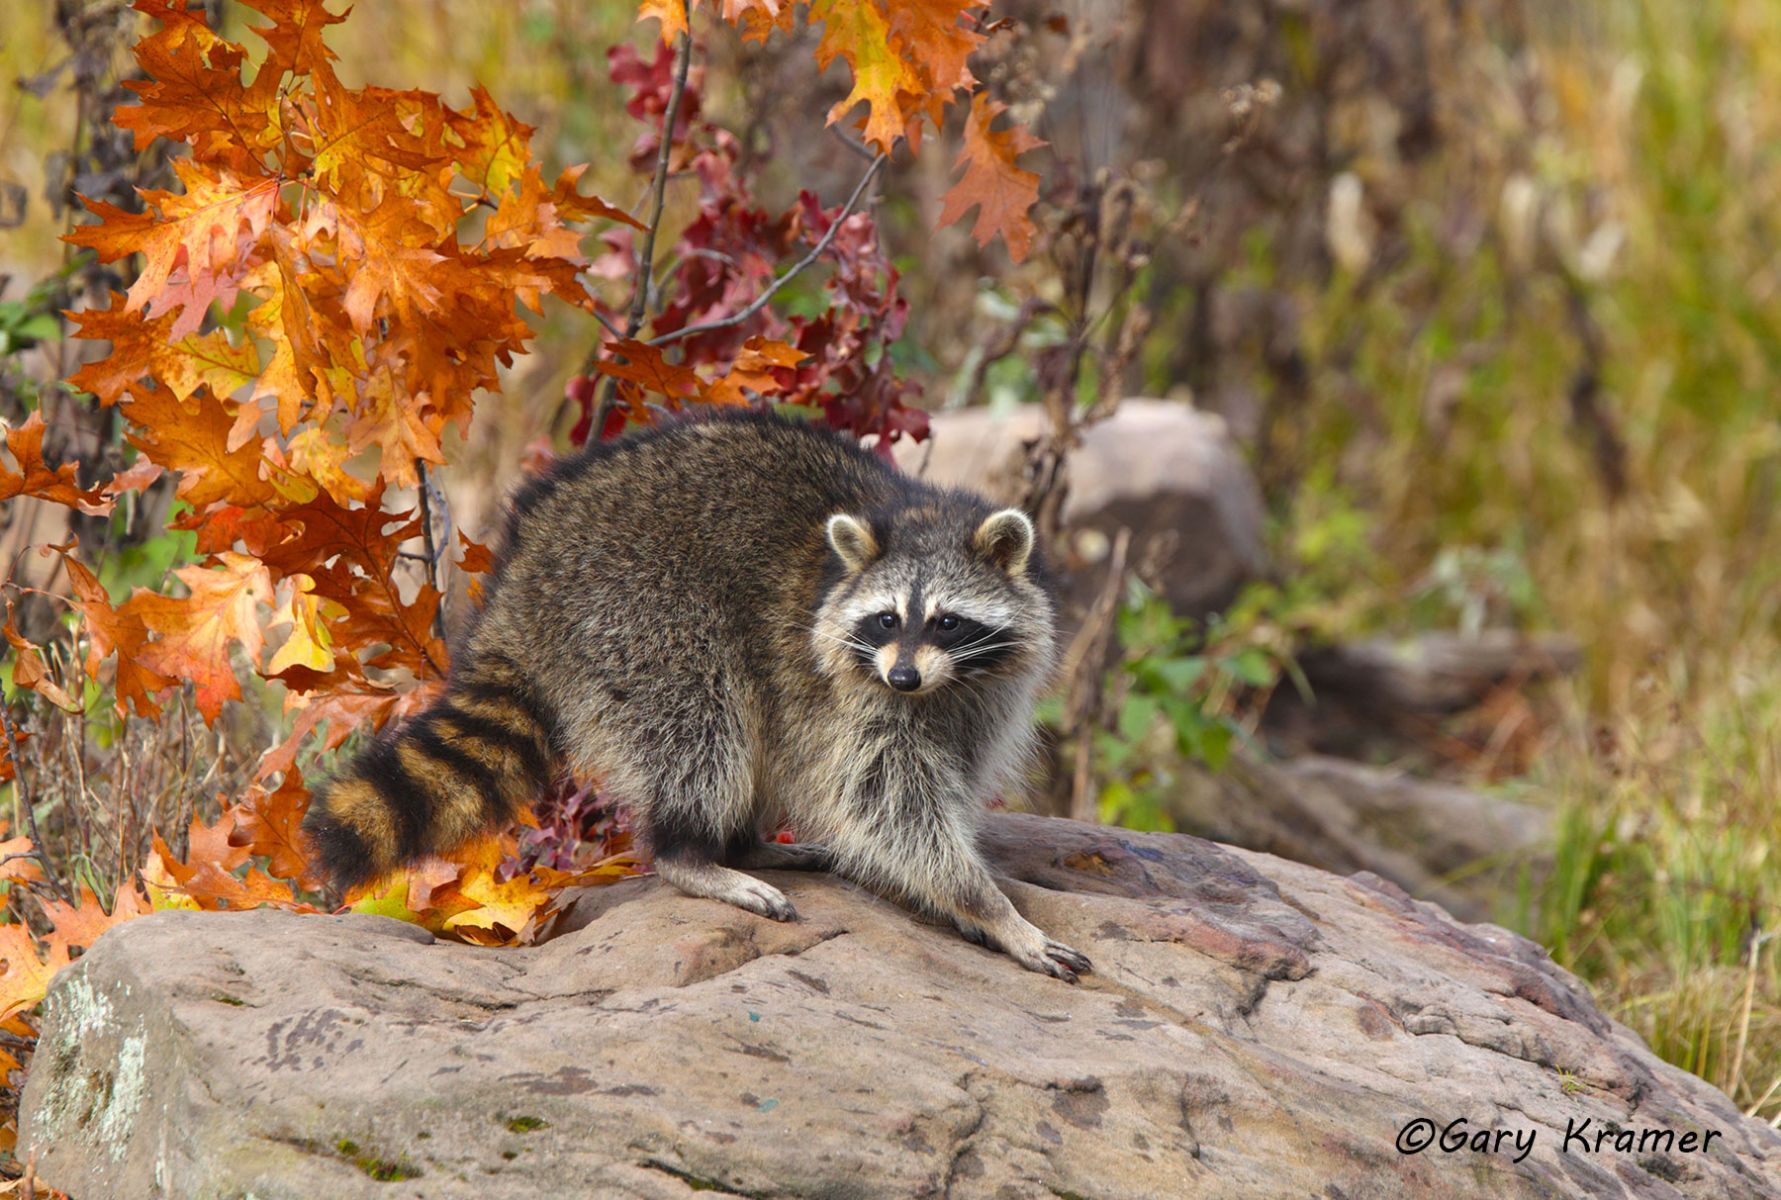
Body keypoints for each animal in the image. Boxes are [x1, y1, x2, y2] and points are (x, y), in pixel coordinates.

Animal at [304, 409, 1091, 981]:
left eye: (947, 621)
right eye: (888, 618)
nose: (902, 678)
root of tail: (526, 566)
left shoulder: (982, 690)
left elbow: (940, 775)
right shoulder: (856, 691)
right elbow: (888, 804)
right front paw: (986, 906)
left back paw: (745, 842)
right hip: (643, 614)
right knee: (702, 727)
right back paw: (692, 851)